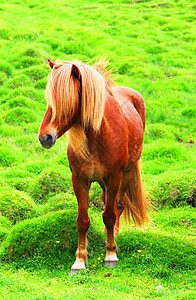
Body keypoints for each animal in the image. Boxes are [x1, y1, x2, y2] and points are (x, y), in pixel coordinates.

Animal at [38, 58, 149, 274]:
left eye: (67, 100)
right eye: (48, 99)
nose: (44, 137)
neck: (98, 137)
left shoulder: (114, 177)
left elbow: (109, 215)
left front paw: (110, 255)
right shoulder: (80, 180)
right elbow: (82, 220)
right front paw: (80, 261)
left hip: (126, 174)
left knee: (118, 206)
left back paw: (114, 239)